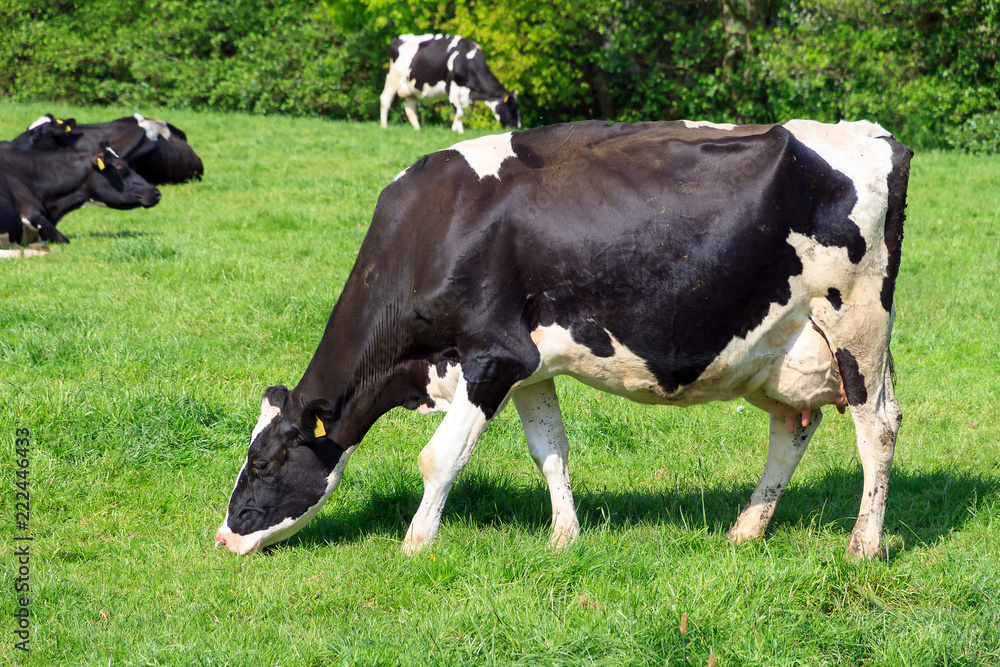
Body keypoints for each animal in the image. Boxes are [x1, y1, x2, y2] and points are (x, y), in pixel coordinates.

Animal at [219, 118, 916, 560]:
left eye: (263, 462)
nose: (224, 537)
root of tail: (875, 135)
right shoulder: (531, 367)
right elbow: (549, 450)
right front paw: (563, 538)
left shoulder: (493, 357)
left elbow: (439, 457)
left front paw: (416, 546)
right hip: (781, 349)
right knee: (792, 428)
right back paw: (746, 530)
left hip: (858, 326)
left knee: (877, 427)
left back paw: (863, 547)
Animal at [380, 33, 524, 134]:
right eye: (512, 107)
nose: (518, 126)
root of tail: (398, 38)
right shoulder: (453, 86)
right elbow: (459, 113)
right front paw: (459, 132)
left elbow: (460, 112)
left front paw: (455, 129)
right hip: (393, 77)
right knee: (385, 100)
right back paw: (384, 127)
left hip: (412, 88)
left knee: (409, 108)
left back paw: (417, 129)